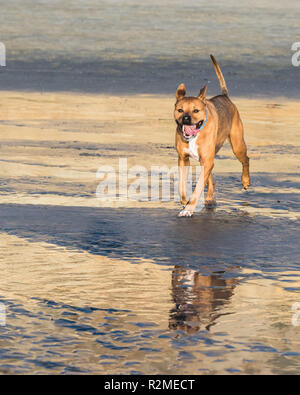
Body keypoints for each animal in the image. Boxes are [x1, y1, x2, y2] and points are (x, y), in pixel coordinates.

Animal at [175, 53, 250, 217]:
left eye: (196, 110)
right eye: (180, 110)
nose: (186, 118)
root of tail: (225, 96)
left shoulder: (206, 160)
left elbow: (197, 189)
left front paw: (189, 208)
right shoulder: (183, 159)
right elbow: (182, 185)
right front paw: (184, 201)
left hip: (237, 145)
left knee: (246, 159)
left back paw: (246, 181)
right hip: (208, 157)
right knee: (211, 178)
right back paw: (209, 199)